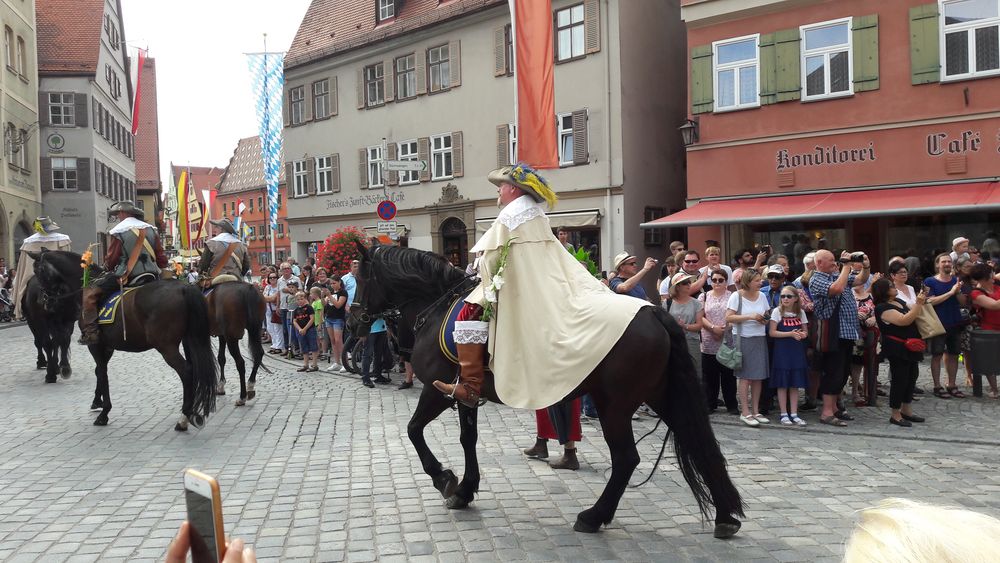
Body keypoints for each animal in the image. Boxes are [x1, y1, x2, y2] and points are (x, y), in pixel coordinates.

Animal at [22, 251, 81, 384]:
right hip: (33, 321)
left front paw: (64, 367)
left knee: (55, 341)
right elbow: (47, 343)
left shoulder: (68, 319)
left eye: (38, 270)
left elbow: (63, 340)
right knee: (40, 341)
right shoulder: (39, 321)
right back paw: (43, 362)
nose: (44, 301)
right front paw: (50, 373)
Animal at [33, 251, 217, 432]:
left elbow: (102, 372)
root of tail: (185, 287)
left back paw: (185, 417)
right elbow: (99, 372)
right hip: (189, 340)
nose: (43, 301)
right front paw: (97, 401)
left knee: (186, 371)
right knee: (194, 368)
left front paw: (104, 413)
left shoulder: (95, 345)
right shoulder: (107, 347)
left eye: (38, 272)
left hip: (167, 347)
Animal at [356, 246, 748, 536]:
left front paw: (444, 479)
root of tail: (654, 312)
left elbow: (413, 430)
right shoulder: (464, 392)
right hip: (659, 394)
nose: (356, 317)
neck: (435, 307)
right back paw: (725, 515)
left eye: (359, 274)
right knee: (697, 441)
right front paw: (465, 489)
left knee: (626, 459)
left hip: (615, 405)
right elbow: (468, 440)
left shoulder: (437, 391)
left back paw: (593, 516)